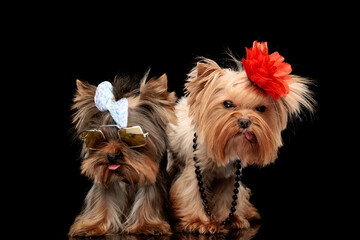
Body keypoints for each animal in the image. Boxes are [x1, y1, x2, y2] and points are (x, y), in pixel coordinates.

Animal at [68, 71, 176, 236]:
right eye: (100, 138)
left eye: (130, 136)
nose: (111, 156)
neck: (125, 175)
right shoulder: (104, 182)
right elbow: (102, 200)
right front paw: (92, 226)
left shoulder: (150, 179)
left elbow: (147, 199)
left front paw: (148, 225)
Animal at [166, 40, 316, 233]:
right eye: (227, 104)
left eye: (261, 108)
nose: (245, 121)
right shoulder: (194, 171)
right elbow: (192, 193)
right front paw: (199, 222)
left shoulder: (229, 177)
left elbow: (227, 198)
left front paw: (231, 219)